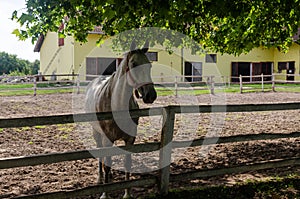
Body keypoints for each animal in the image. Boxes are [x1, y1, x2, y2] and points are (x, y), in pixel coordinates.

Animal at [85, 39, 157, 198]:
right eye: (134, 64)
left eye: (149, 65)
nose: (151, 95)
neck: (117, 105)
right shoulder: (107, 139)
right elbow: (106, 165)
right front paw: (104, 194)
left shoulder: (130, 139)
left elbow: (127, 163)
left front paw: (127, 193)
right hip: (96, 133)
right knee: (101, 157)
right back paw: (100, 179)